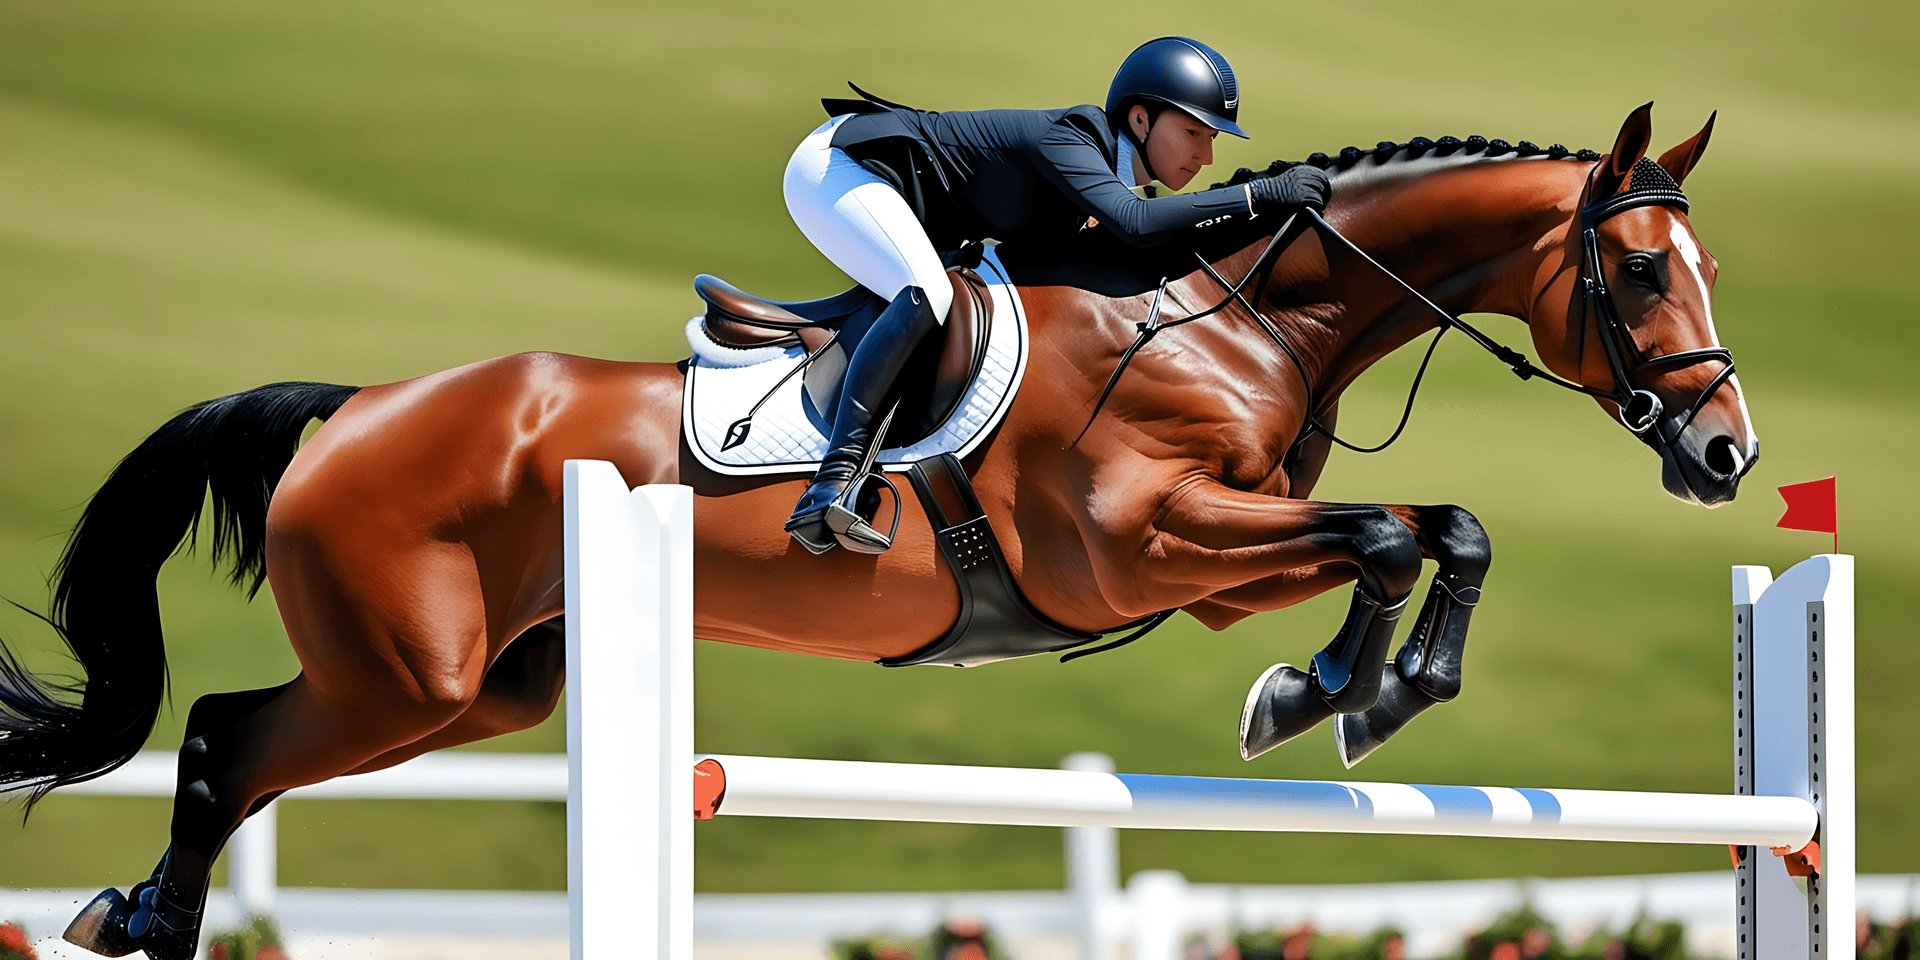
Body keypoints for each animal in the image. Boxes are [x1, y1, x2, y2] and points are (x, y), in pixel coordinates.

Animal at [0, 103, 1753, 960]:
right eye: (1641, 271)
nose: (1728, 453)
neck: (1228, 308)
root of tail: (359, 404)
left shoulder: (1215, 559)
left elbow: (1438, 529)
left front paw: (1368, 692)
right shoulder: (1146, 545)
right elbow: (1396, 534)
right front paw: (1331, 698)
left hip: (487, 685)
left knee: (236, 745)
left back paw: (135, 920)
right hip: (411, 673)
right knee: (221, 740)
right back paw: (148, 922)